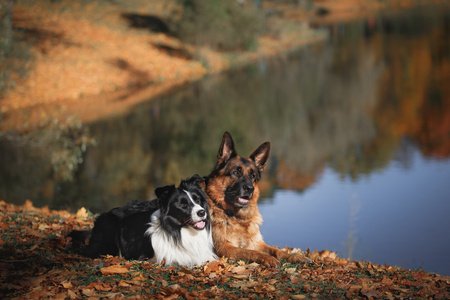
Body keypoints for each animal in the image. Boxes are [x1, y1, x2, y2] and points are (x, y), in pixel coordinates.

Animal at [204, 131, 310, 268]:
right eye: (235, 173)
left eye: (253, 176)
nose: (250, 189)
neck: (238, 218)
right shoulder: (225, 248)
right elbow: (251, 252)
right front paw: (268, 259)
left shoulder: (256, 243)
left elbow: (277, 251)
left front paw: (296, 257)